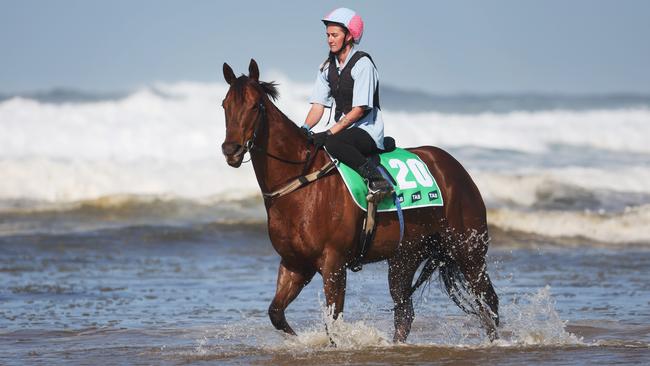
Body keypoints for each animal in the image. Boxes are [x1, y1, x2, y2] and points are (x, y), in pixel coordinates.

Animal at [220, 58, 498, 342]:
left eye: (255, 105)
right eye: (225, 105)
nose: (231, 150)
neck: (301, 182)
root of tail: (455, 168)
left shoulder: (333, 264)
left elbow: (333, 323)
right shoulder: (295, 264)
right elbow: (276, 313)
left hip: (468, 250)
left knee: (488, 301)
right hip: (405, 256)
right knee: (404, 312)